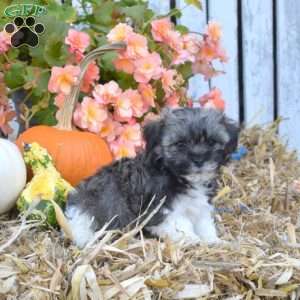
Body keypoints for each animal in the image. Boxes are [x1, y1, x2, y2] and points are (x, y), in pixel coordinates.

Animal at [65, 107, 239, 246]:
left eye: (211, 142)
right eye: (180, 144)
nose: (198, 159)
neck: (180, 177)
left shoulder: (200, 207)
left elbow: (204, 224)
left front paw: (214, 241)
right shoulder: (161, 208)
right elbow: (181, 225)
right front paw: (192, 239)